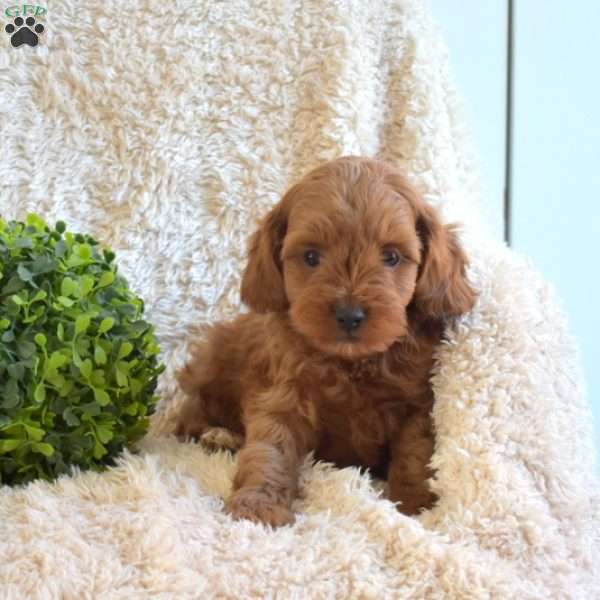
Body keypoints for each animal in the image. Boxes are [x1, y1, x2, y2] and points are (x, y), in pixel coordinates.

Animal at [173, 158, 474, 524]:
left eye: (391, 257)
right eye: (312, 257)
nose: (349, 314)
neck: (351, 362)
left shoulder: (416, 403)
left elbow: (414, 452)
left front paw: (415, 504)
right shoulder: (283, 394)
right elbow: (270, 447)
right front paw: (257, 504)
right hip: (214, 359)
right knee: (188, 416)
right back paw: (218, 436)